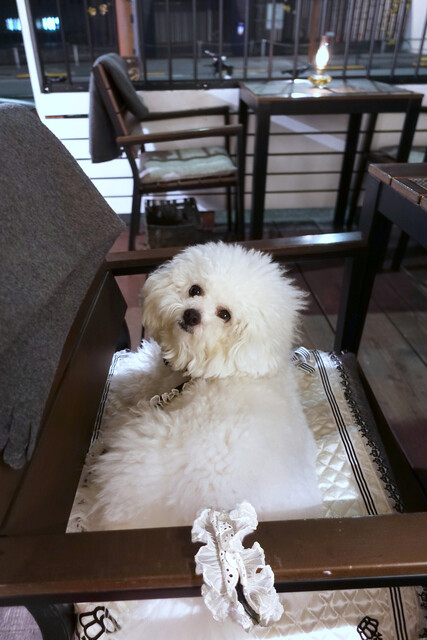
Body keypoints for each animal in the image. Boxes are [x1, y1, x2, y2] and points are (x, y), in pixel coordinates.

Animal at [78, 242, 322, 533]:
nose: (191, 314)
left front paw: (123, 380)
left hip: (141, 439)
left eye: (225, 315)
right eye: (195, 290)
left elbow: (144, 379)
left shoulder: (163, 388)